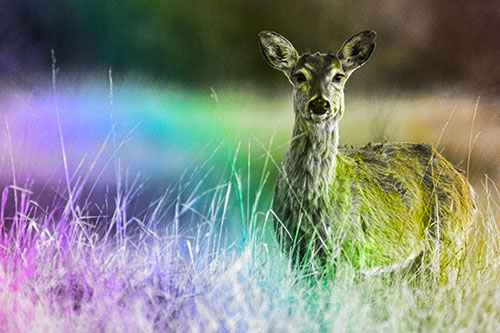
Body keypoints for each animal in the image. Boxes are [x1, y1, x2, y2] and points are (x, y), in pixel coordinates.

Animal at [258, 29, 476, 276]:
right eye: (299, 76)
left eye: (338, 76)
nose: (320, 104)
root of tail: (467, 186)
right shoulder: (295, 252)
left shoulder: (350, 251)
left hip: (447, 245)